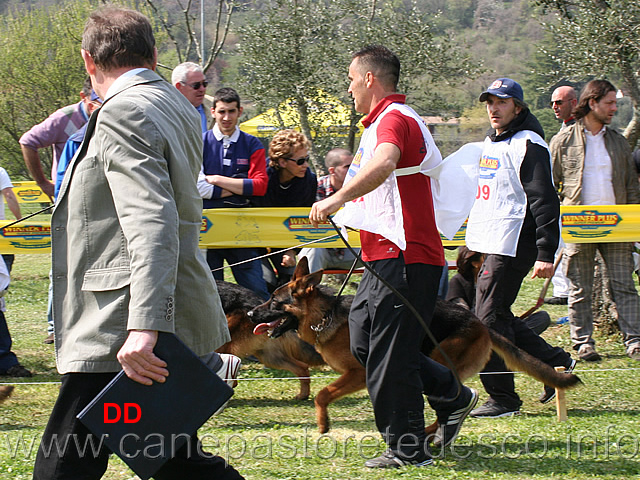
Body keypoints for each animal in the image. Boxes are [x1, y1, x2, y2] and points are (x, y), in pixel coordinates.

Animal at [252, 258, 584, 436]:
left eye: (274, 302)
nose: (252, 313)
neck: (326, 316)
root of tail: (478, 321)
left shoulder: (358, 373)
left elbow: (321, 395)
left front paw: (323, 425)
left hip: (439, 358)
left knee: (448, 400)